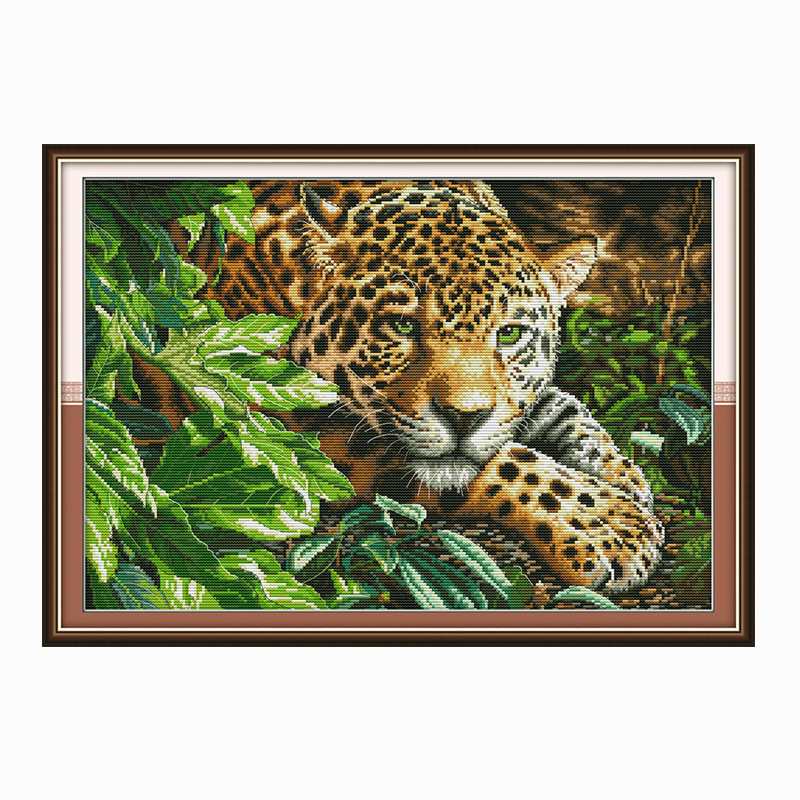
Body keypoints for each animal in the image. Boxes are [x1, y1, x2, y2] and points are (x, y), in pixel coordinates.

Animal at [161, 178, 664, 593]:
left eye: (509, 334)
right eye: (403, 325)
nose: (464, 419)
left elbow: (564, 410)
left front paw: (627, 478)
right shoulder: (274, 423)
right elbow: (506, 462)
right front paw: (611, 524)